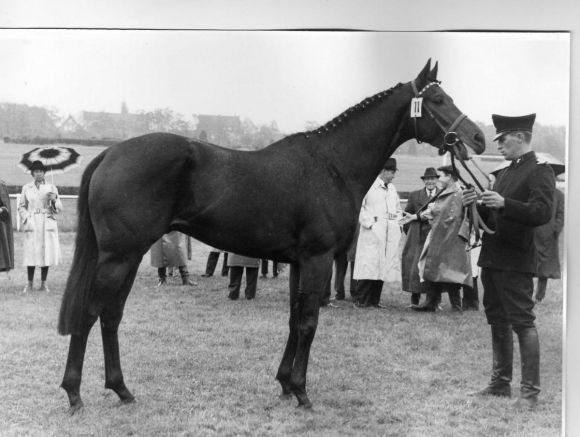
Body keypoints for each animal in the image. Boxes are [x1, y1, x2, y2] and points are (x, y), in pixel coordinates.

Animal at [57, 60, 484, 412]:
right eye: (439, 100)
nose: (478, 138)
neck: (331, 164)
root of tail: (110, 154)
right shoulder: (317, 258)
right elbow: (309, 321)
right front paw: (302, 392)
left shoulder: (298, 262)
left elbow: (294, 320)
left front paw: (284, 384)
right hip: (118, 257)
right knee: (91, 313)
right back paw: (74, 393)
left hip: (127, 257)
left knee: (111, 316)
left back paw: (121, 390)